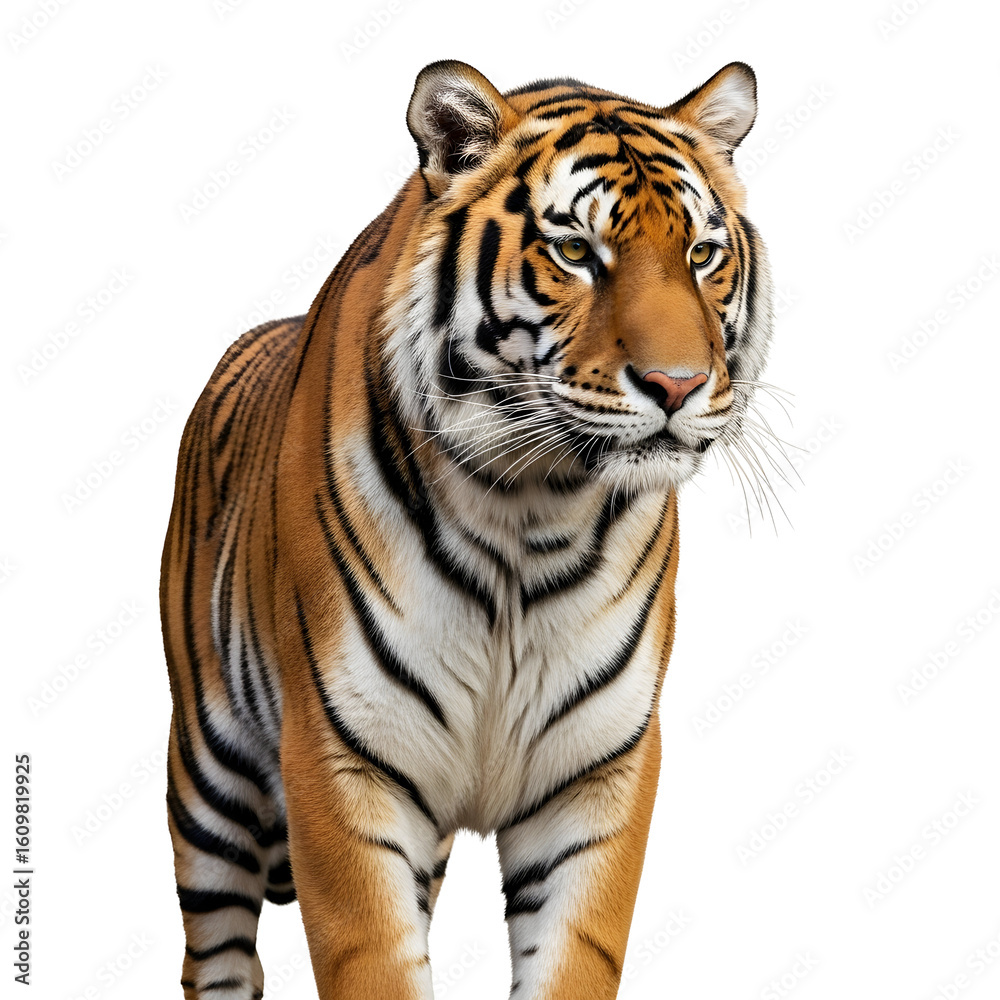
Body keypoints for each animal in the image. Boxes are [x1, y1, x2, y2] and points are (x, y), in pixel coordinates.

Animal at [160, 58, 773, 999]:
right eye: (575, 252)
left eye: (702, 255)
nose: (678, 385)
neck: (533, 510)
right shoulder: (342, 761)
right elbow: (374, 959)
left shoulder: (597, 773)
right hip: (208, 780)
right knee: (219, 956)